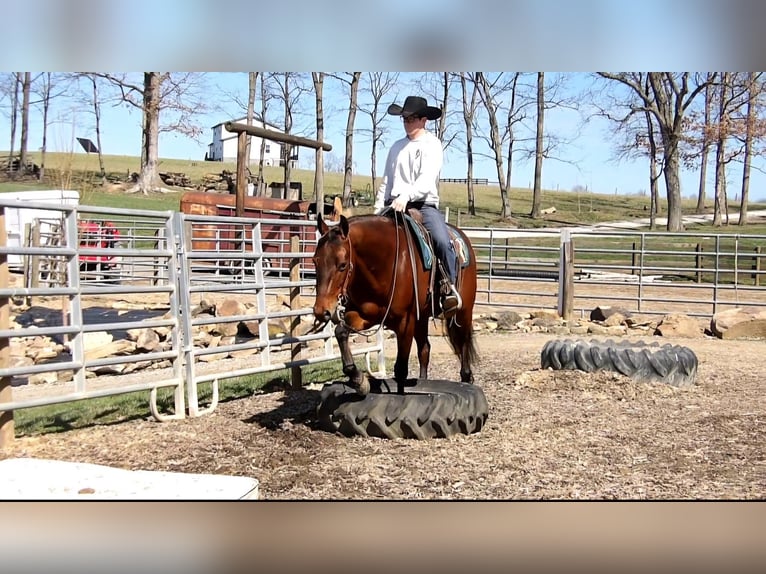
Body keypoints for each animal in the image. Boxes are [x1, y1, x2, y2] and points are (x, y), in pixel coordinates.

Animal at [311, 210, 479, 395]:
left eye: (342, 265)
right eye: (315, 261)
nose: (321, 310)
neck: (385, 264)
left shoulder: (405, 322)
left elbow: (400, 370)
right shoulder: (365, 315)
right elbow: (341, 332)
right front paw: (358, 380)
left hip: (463, 312)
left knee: (463, 346)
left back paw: (467, 379)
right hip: (421, 318)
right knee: (424, 350)